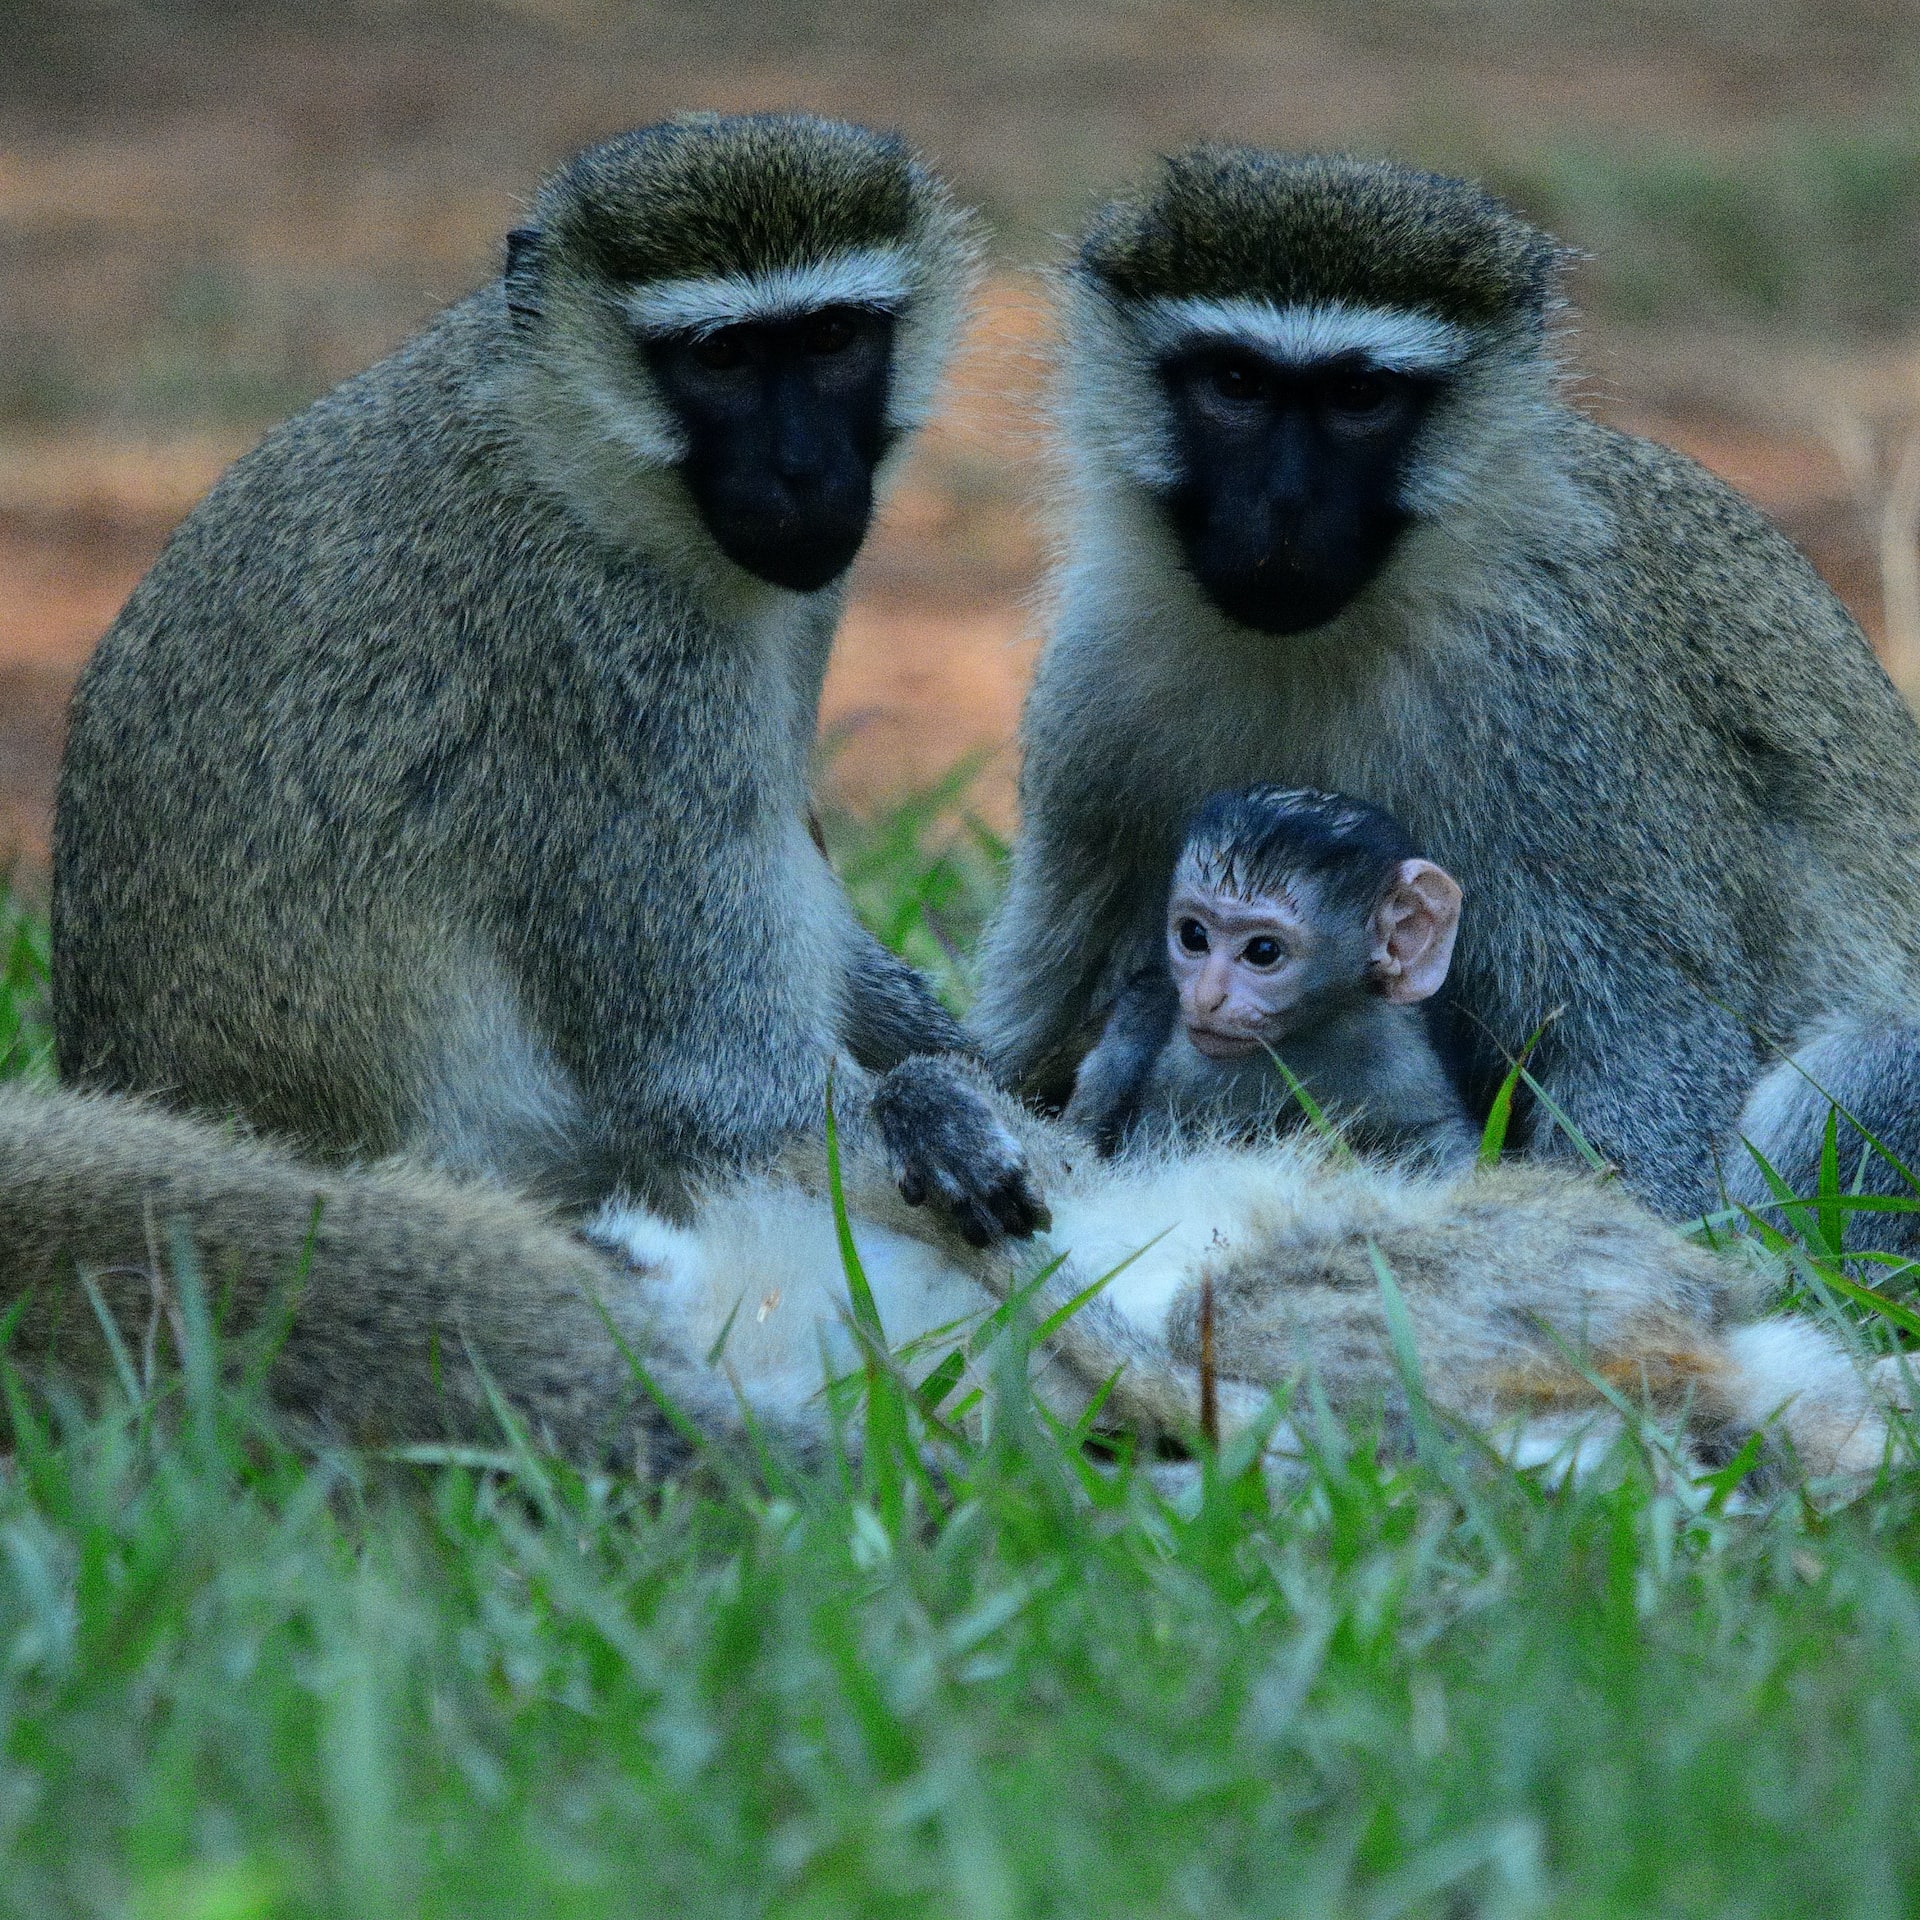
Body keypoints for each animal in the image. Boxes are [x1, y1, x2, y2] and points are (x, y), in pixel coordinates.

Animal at [60, 112, 1044, 1244]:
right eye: (722, 355)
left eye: (834, 338)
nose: (803, 472)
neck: (575, 456)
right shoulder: (607, 670)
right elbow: (708, 1079)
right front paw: (931, 1113)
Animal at [1059, 783, 1474, 1167]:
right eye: (1193, 935)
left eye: (1263, 951)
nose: (1205, 998)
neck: (1305, 1034)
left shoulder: (1403, 1058)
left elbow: (1440, 1135)